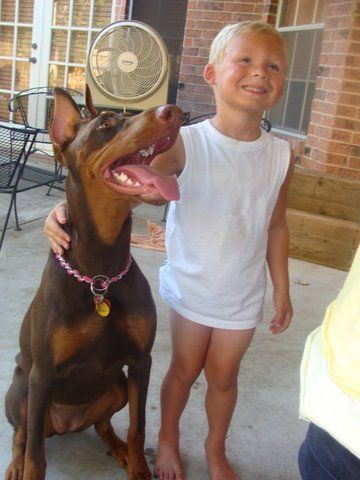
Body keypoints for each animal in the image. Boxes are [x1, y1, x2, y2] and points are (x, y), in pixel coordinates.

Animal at [3, 87, 183, 480]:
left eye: (130, 115)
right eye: (105, 125)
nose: (173, 112)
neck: (100, 276)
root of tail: (66, 425)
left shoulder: (140, 362)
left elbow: (137, 428)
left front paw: (138, 467)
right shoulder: (42, 375)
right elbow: (35, 455)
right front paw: (26, 466)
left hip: (117, 386)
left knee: (103, 424)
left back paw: (118, 449)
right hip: (21, 388)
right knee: (23, 434)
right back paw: (13, 464)